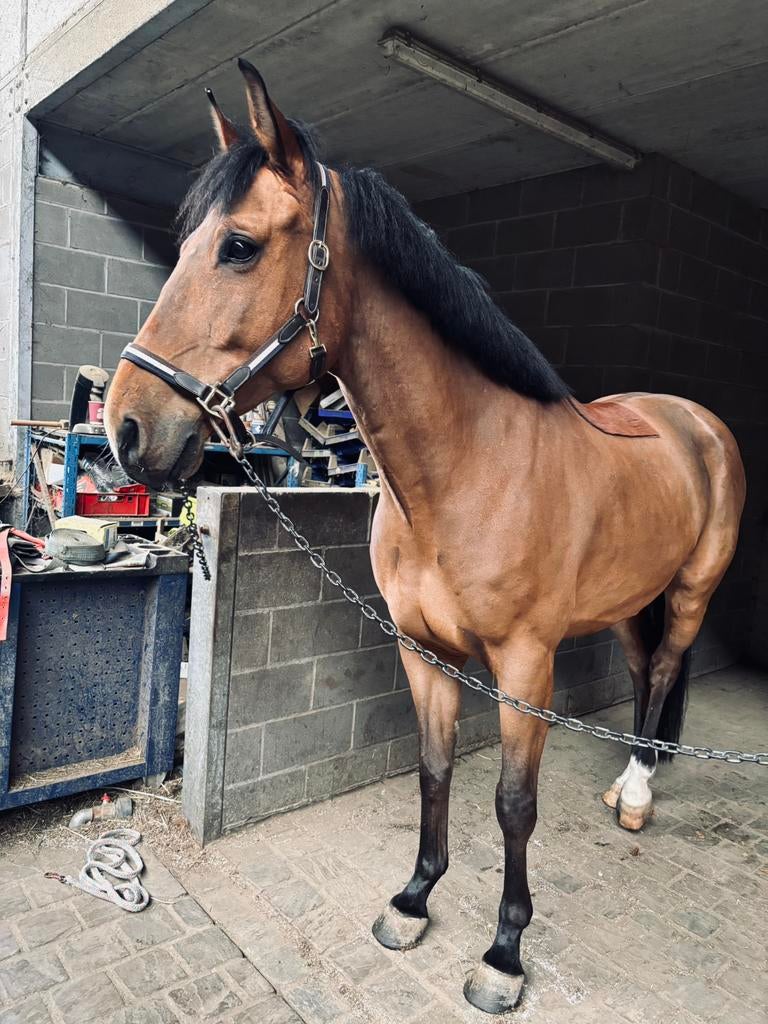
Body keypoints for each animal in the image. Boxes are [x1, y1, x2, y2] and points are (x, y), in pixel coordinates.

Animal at [104, 62, 745, 1014]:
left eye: (240, 247)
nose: (128, 427)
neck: (471, 469)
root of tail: (694, 421)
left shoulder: (526, 668)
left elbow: (514, 804)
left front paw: (503, 956)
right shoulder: (422, 650)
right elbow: (434, 769)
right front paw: (412, 901)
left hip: (694, 588)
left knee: (668, 667)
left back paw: (637, 793)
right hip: (632, 599)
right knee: (642, 672)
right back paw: (632, 782)